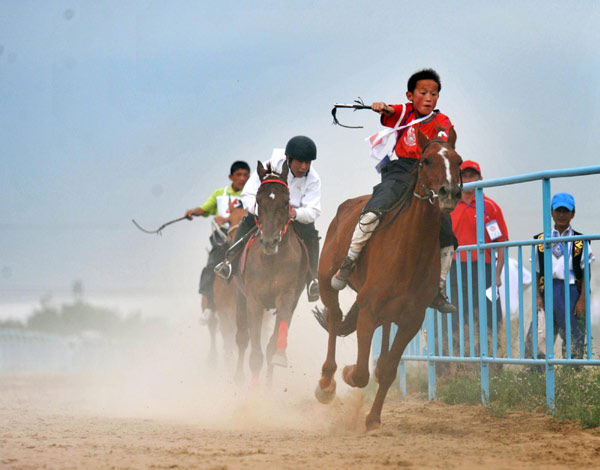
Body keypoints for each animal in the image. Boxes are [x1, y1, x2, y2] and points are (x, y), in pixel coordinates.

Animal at [234, 160, 310, 384]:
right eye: (259, 200)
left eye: (286, 202)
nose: (269, 242)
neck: (271, 261)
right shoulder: (253, 300)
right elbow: (255, 355)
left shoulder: (287, 295)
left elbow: (272, 345)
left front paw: (278, 358)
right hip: (239, 296)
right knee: (242, 338)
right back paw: (238, 377)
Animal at [314, 127, 464, 430]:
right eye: (426, 160)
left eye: (459, 161)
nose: (449, 193)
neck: (408, 251)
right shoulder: (368, 310)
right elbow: (360, 373)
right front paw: (347, 374)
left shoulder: (411, 321)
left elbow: (387, 369)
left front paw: (373, 418)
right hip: (326, 281)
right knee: (334, 318)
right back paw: (326, 384)